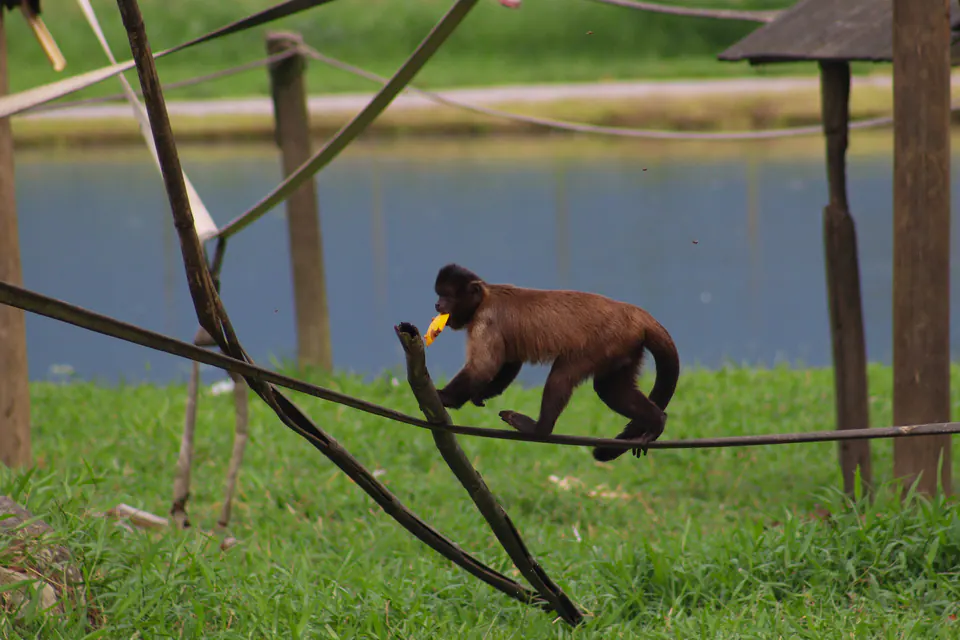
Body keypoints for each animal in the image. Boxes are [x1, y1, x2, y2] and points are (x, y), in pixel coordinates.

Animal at [431, 263, 680, 461]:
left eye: (447, 296)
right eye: (438, 295)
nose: (437, 305)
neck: (485, 296)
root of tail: (633, 312)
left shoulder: (485, 320)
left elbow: (483, 368)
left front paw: (444, 397)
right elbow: (510, 362)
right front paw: (481, 394)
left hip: (605, 340)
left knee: (562, 377)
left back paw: (538, 430)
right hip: (624, 347)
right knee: (611, 389)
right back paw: (657, 420)